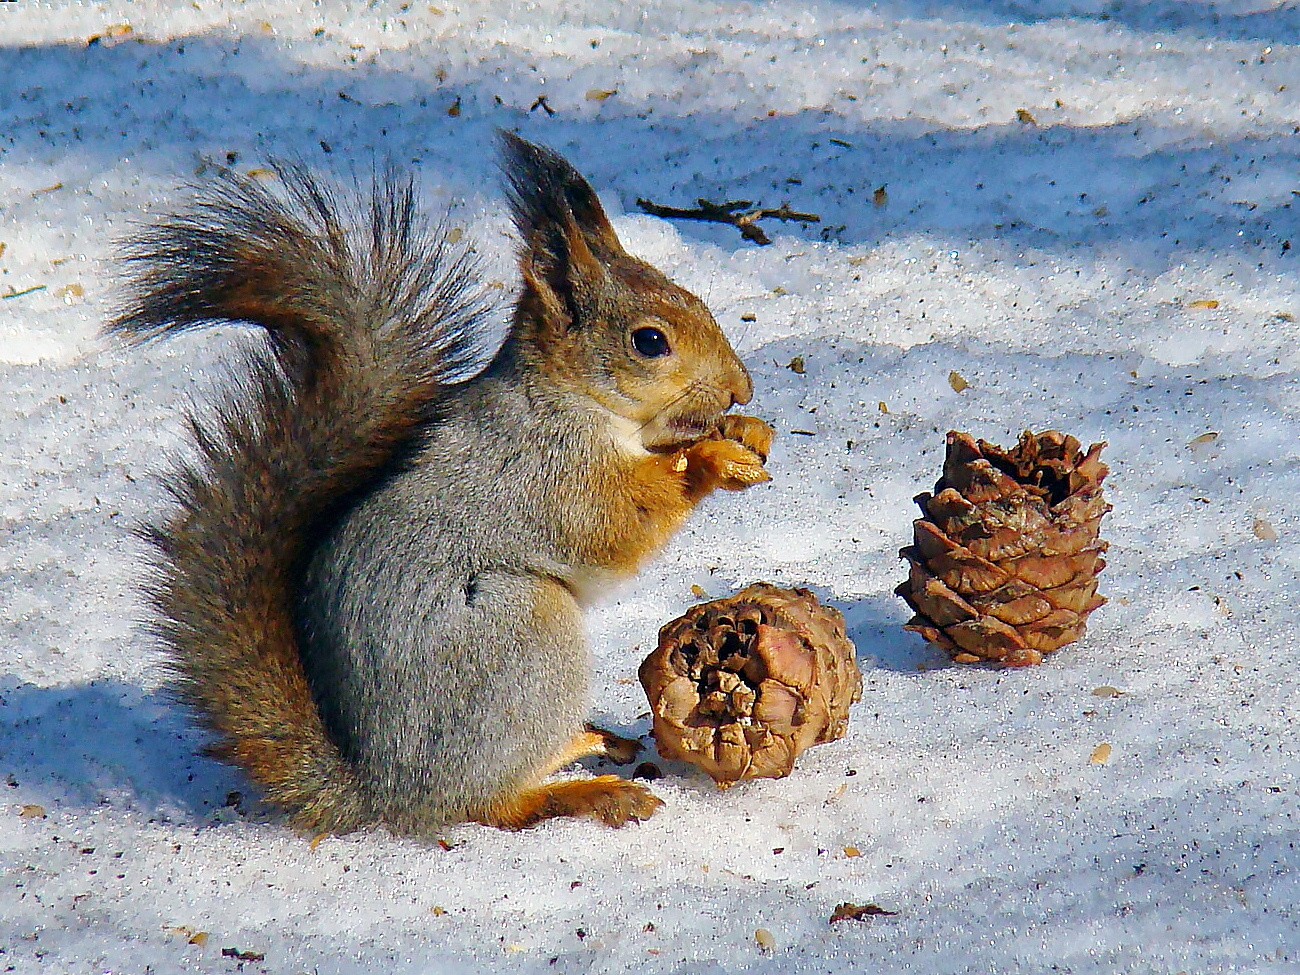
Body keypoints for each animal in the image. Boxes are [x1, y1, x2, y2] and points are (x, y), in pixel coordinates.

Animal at [109, 133, 774, 836]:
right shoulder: (547, 473)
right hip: (522, 635)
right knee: (486, 801)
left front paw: (746, 431)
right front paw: (709, 460)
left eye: (694, 299)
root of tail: (387, 792)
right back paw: (585, 789)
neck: (577, 403)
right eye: (649, 341)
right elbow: (618, 524)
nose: (740, 387)